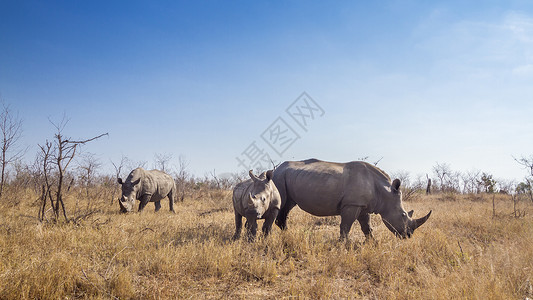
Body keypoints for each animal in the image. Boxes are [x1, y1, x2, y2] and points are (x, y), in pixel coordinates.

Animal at [272, 159, 430, 239]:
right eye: (403, 215)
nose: (409, 235)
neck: (385, 193)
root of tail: (277, 168)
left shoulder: (363, 206)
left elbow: (367, 227)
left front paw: (373, 244)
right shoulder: (352, 204)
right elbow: (345, 227)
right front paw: (342, 246)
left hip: (288, 177)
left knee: (288, 206)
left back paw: (288, 235)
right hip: (279, 177)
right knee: (283, 204)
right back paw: (288, 235)